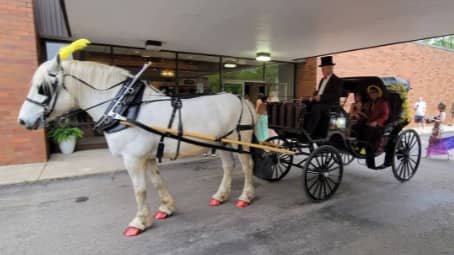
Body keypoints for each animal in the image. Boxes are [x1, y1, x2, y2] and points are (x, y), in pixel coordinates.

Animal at [17, 56, 258, 236]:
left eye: (43, 88)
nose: (22, 121)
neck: (123, 107)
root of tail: (241, 99)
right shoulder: (148, 156)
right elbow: (157, 182)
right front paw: (166, 208)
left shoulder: (133, 158)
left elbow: (139, 190)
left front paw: (139, 222)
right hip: (223, 142)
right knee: (228, 167)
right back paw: (220, 195)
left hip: (241, 141)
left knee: (247, 167)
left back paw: (245, 197)